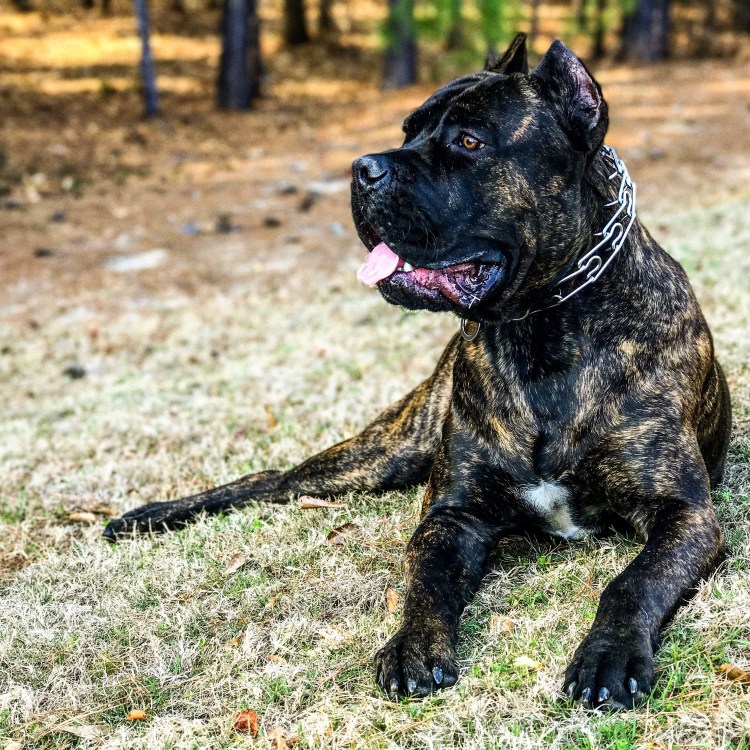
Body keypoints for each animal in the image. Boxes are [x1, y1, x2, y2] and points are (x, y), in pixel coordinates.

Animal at [105, 35, 732, 710]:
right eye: (408, 131)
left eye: (470, 141)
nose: (362, 168)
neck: (540, 331)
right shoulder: (451, 516)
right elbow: (425, 581)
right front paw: (412, 646)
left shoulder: (685, 515)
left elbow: (632, 581)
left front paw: (608, 656)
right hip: (386, 451)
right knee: (274, 480)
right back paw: (147, 516)